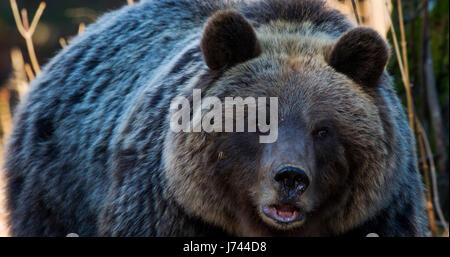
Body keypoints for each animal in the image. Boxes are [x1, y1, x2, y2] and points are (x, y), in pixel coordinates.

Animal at [4, 0, 428, 236]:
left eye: (323, 129)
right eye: (257, 122)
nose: (290, 178)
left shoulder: (381, 213)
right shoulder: (168, 210)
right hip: (57, 188)